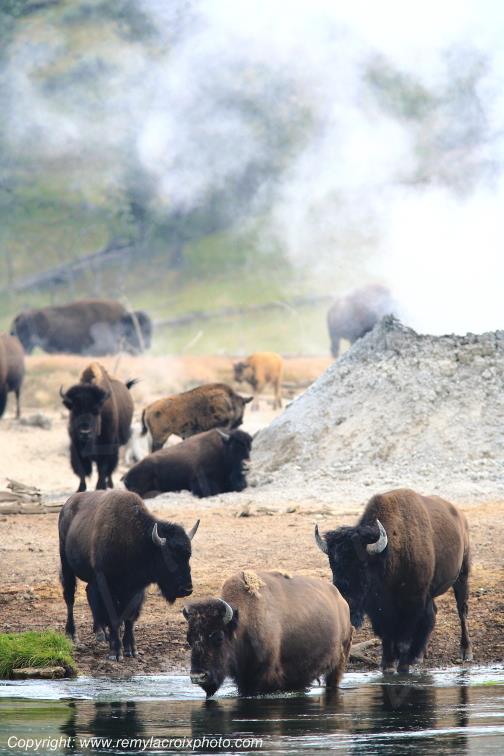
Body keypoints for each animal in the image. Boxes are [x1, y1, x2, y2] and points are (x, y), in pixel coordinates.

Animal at [58, 489, 199, 660]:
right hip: (66, 565)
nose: (187, 589)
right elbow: (113, 615)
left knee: (89, 596)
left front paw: (131, 649)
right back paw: (72, 635)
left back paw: (100, 634)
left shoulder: (136, 589)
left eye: (188, 555)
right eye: (169, 556)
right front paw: (115, 652)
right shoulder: (106, 583)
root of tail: (68, 504)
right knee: (70, 598)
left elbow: (129, 618)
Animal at [60, 362, 136, 491]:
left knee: (109, 470)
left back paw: (109, 485)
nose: (85, 433)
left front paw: (100, 487)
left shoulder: (108, 445)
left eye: (96, 411)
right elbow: (81, 469)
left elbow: (103, 468)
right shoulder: (76, 447)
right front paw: (81, 488)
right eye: (75, 411)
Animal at [184, 570, 353, 697]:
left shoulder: (265, 676)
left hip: (338, 663)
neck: (243, 620)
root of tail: (342, 601)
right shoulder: (244, 679)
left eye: (219, 637)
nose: (198, 677)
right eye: (189, 639)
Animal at [315, 488, 472, 674]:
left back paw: (465, 651)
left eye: (362, 564)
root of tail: (460, 517)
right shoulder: (379, 608)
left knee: (461, 610)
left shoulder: (413, 601)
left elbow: (405, 636)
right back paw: (421, 654)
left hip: (462, 574)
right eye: (333, 564)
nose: (346, 601)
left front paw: (403, 666)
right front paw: (388, 664)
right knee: (433, 614)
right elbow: (387, 635)